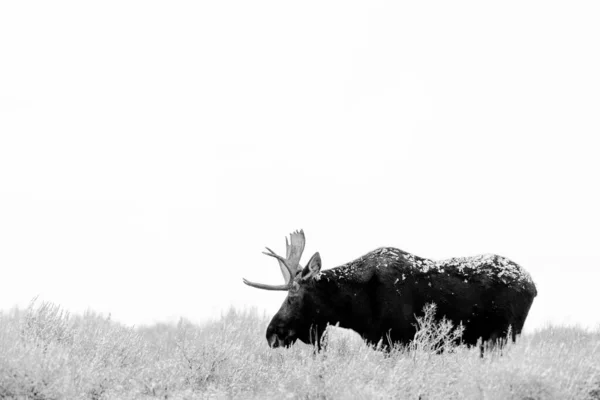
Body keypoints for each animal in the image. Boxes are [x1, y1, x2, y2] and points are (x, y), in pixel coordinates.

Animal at [241, 230, 536, 352]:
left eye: (292, 296)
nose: (272, 334)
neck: (355, 307)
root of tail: (533, 286)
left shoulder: (400, 341)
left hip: (503, 336)